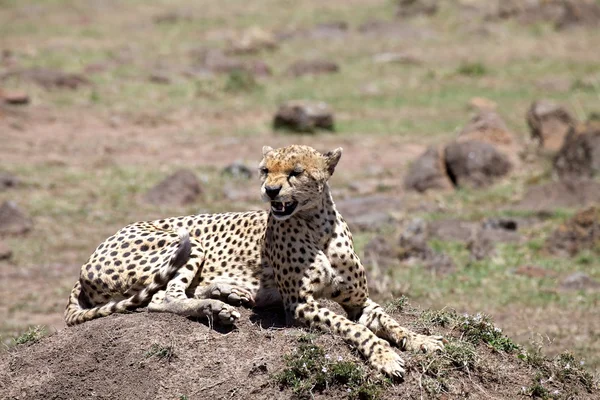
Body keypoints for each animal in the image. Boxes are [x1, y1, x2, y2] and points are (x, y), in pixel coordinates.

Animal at [64, 145, 446, 378]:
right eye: (264, 170)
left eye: (295, 172)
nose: (271, 191)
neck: (316, 225)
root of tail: (86, 262)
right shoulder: (300, 306)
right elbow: (355, 329)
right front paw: (385, 357)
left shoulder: (359, 301)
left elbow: (390, 321)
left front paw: (421, 340)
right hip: (189, 241)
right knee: (162, 297)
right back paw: (217, 308)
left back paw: (229, 293)